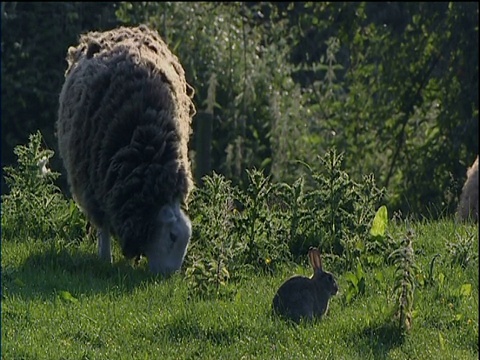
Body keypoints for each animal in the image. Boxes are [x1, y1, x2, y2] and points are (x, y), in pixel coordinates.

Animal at [56, 23, 197, 274]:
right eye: (172, 236)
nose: (168, 277)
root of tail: (123, 28)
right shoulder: (96, 185)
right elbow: (103, 224)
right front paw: (105, 258)